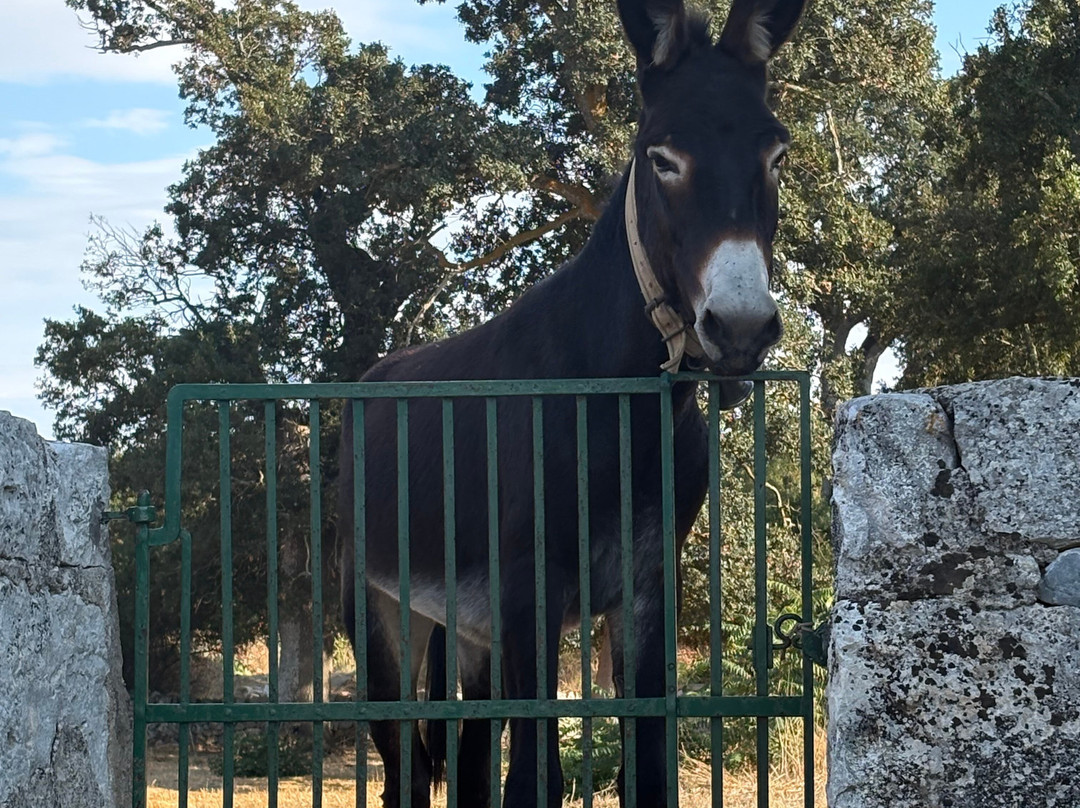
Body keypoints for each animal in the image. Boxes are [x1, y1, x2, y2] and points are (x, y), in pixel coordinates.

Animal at [338, 0, 804, 804]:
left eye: (775, 156)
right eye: (661, 158)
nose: (741, 330)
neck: (621, 407)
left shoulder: (647, 590)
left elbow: (647, 770)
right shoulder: (533, 593)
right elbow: (535, 778)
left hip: (468, 631)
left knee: (464, 763)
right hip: (382, 614)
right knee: (407, 769)